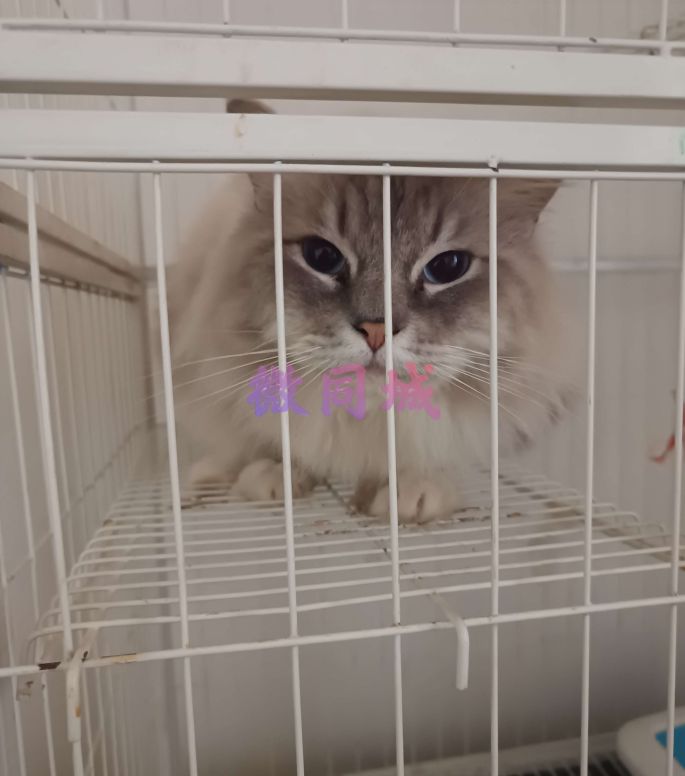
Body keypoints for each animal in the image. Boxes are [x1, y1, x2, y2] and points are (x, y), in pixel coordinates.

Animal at [166, 99, 577, 522]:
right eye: (322, 256)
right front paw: (277, 476)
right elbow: (282, 439)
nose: (377, 329)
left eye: (448, 267)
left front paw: (414, 492)